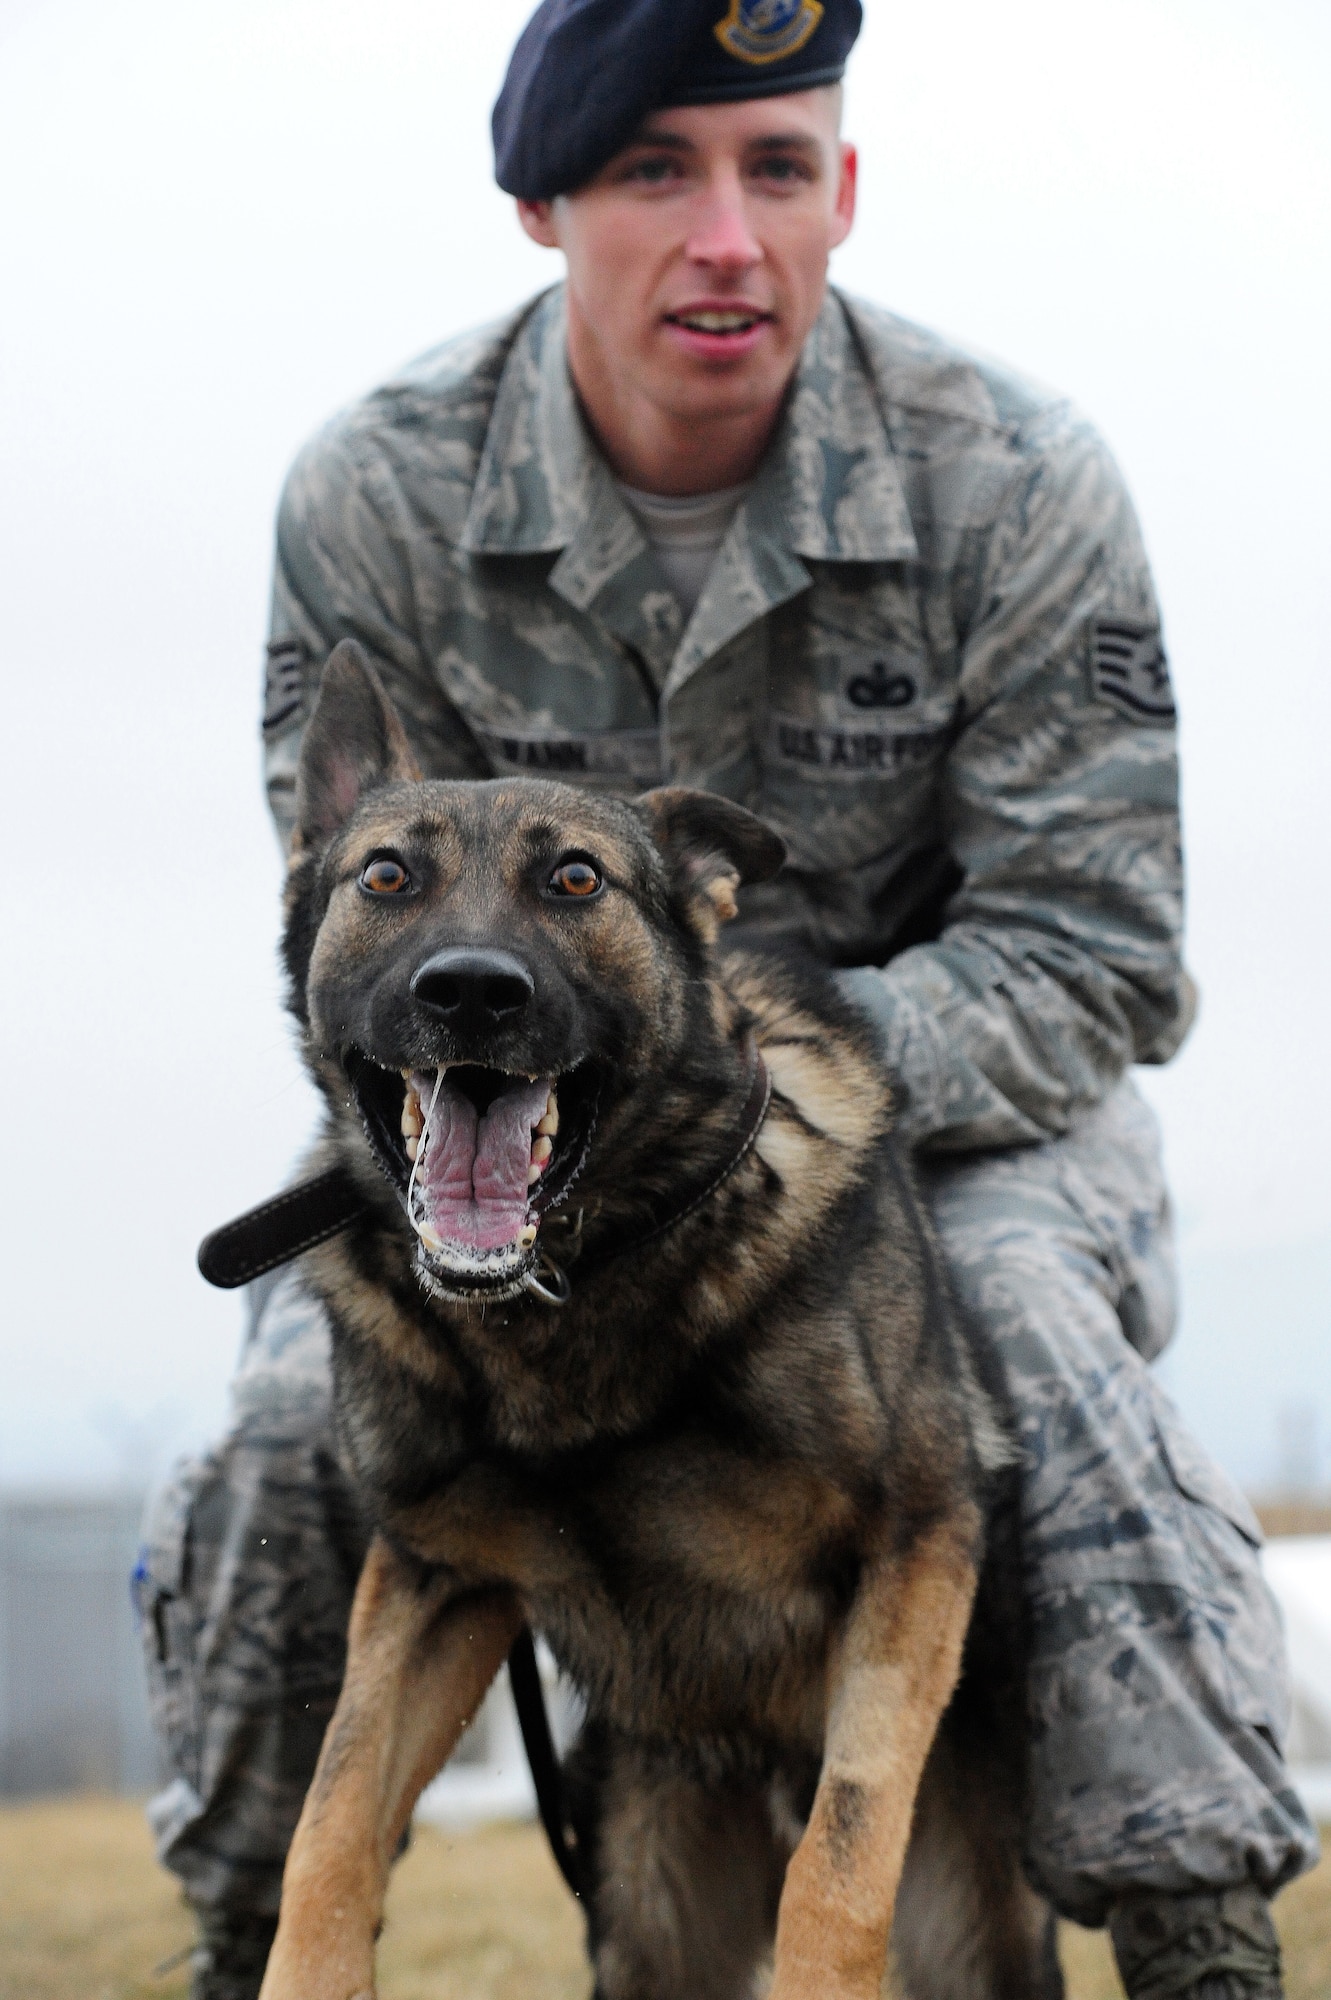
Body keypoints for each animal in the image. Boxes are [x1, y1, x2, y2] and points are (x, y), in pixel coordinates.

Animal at [253, 640, 1055, 2000]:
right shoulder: (430, 1583)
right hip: (646, 1904)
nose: (470, 993)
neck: (578, 1283)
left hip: (964, 1914)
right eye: (386, 875)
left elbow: (842, 1848)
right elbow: (329, 1818)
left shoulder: (916, 1540)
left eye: (575, 878)